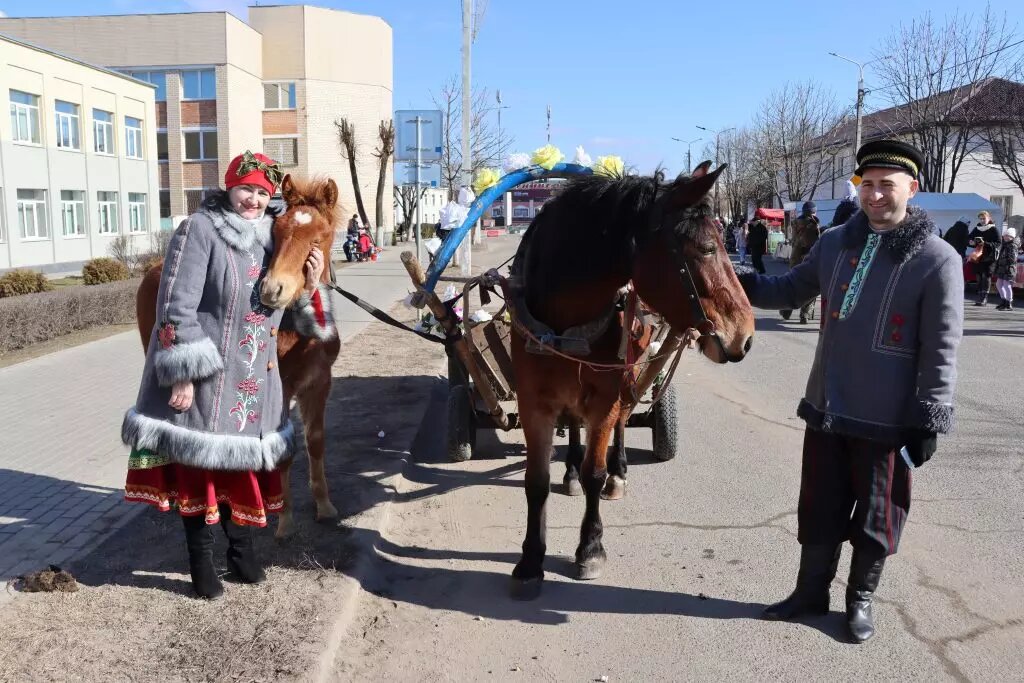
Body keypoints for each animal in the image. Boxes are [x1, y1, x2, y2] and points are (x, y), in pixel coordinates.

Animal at [136, 175, 342, 540]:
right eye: (278, 233)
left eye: (318, 239)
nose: (273, 290)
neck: (297, 333)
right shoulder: (281, 390)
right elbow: (283, 451)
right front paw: (285, 520)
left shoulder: (320, 383)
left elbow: (316, 442)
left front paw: (325, 506)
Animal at [509, 161, 757, 598]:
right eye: (707, 249)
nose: (744, 334)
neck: (563, 324)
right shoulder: (533, 403)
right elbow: (535, 481)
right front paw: (530, 560)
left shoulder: (605, 396)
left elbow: (595, 472)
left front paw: (590, 547)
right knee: (576, 427)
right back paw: (569, 471)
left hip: (625, 376)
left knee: (623, 419)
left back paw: (618, 471)